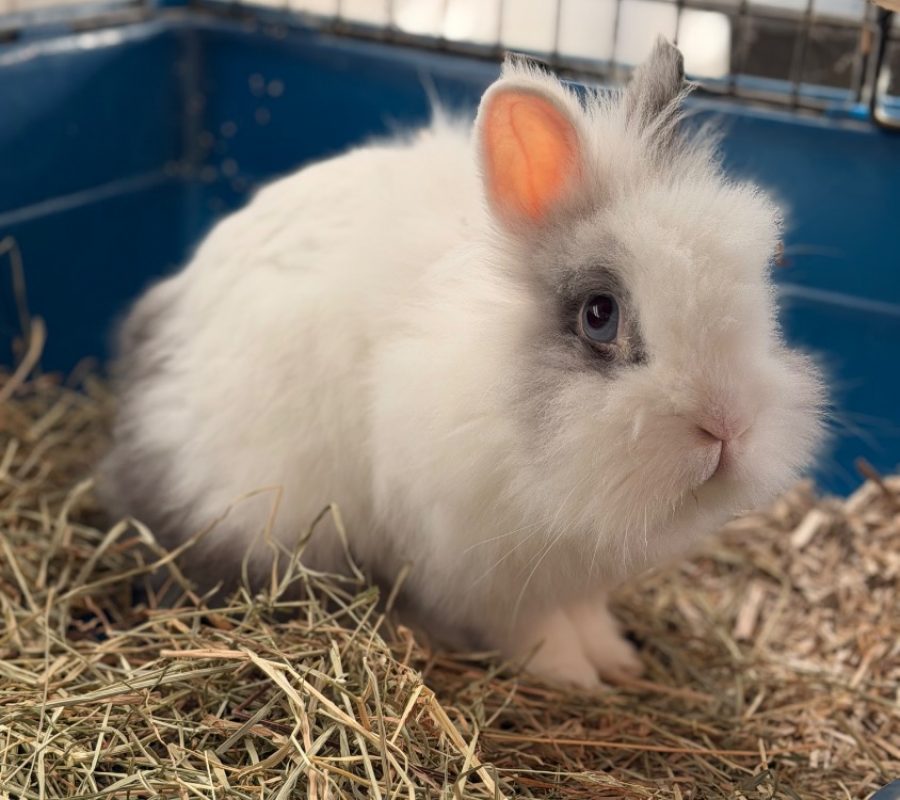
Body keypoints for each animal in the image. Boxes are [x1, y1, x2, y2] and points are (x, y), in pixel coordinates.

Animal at [97, 39, 825, 688]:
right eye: (600, 314)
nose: (726, 426)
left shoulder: (579, 576)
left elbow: (587, 615)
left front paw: (618, 661)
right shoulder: (484, 574)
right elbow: (535, 631)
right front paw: (575, 678)